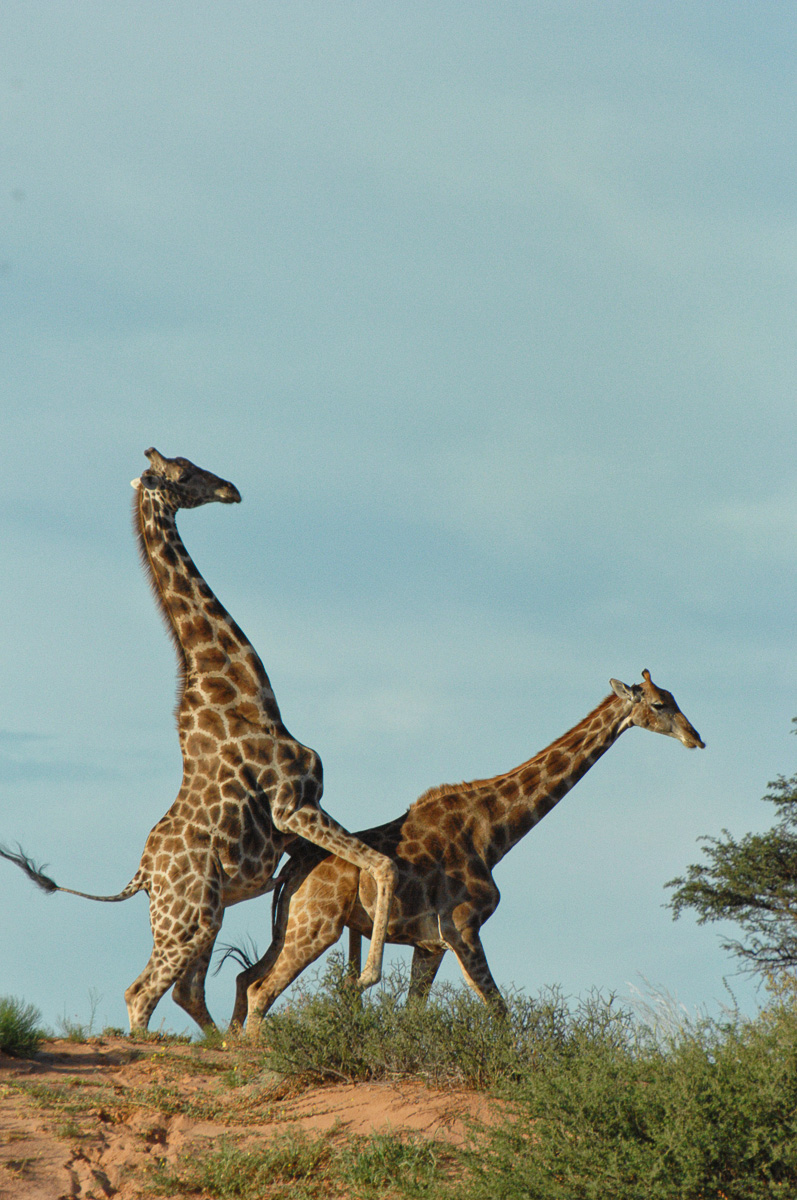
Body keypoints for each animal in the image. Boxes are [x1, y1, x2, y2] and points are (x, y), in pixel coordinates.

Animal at [0, 449, 397, 1032]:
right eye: (184, 474)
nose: (230, 488)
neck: (247, 695)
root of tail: (141, 877)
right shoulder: (294, 807)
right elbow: (381, 863)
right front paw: (367, 977)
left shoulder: (299, 821)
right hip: (187, 917)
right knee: (140, 992)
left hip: (208, 911)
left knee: (185, 991)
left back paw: (222, 1040)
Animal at [231, 670, 704, 1035]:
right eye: (660, 704)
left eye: (675, 699)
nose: (696, 737)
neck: (492, 834)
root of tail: (293, 868)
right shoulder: (463, 928)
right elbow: (500, 1011)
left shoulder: (430, 944)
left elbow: (413, 1015)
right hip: (317, 925)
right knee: (261, 990)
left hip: (290, 924)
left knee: (245, 977)